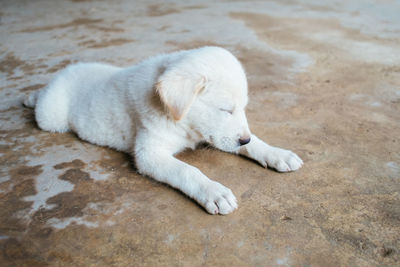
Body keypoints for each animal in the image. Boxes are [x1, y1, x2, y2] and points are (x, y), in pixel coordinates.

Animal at [23, 46, 302, 216]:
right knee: (42, 102)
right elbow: (187, 170)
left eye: (243, 108)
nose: (243, 140)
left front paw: (276, 153)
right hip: (51, 117)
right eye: (225, 110)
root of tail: (62, 73)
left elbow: (256, 142)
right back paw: (30, 96)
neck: (183, 123)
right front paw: (214, 192)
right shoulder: (149, 153)